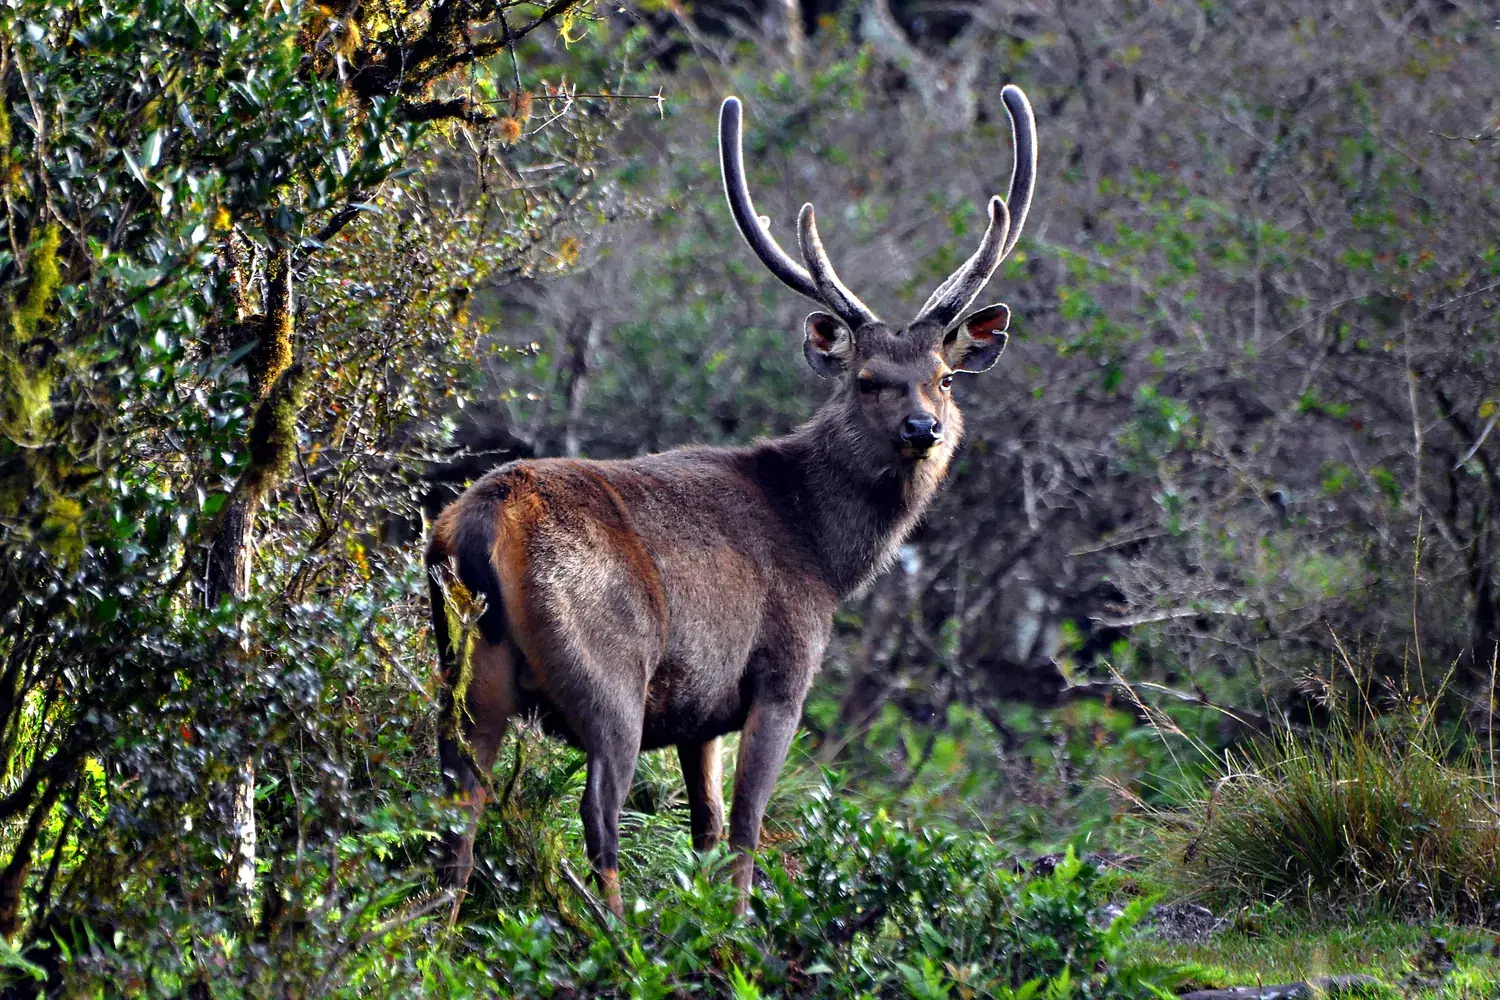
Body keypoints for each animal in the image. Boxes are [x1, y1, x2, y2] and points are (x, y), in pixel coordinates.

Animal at [426, 84, 1037, 917]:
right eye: (866, 379)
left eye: (943, 377)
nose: (924, 429)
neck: (824, 554)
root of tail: (480, 524)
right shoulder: (781, 672)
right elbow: (747, 824)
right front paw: (737, 926)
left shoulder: (699, 710)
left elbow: (707, 827)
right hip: (609, 670)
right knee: (599, 813)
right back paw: (614, 933)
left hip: (467, 669)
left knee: (457, 808)